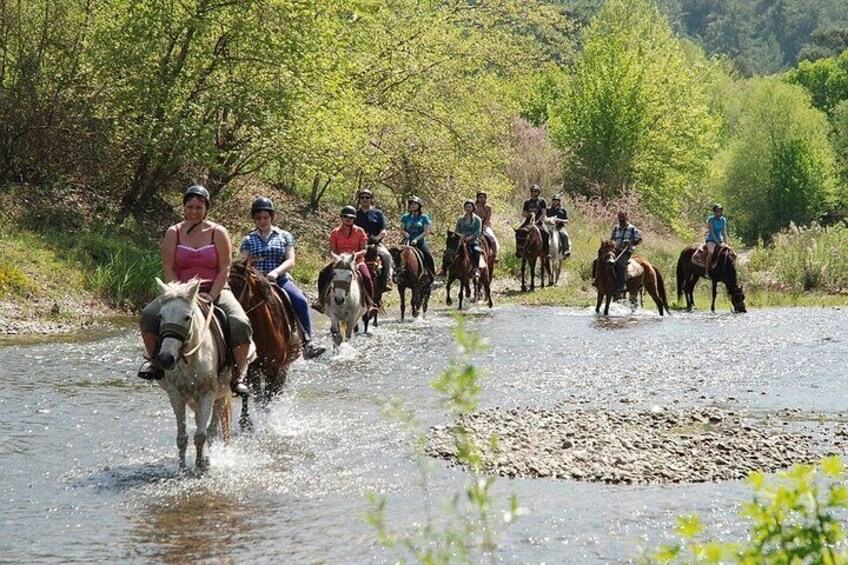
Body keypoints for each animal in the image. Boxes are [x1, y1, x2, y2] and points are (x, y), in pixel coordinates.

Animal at [155, 278, 235, 472]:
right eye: (160, 316)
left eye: (187, 317)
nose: (166, 358)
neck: (189, 359)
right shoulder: (176, 395)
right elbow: (182, 437)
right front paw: (182, 468)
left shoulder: (208, 394)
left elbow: (201, 435)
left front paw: (199, 466)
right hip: (194, 400)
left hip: (221, 395)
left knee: (211, 431)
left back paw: (208, 460)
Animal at [229, 258, 302, 408]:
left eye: (240, 285)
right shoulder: (253, 370)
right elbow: (258, 400)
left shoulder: (273, 369)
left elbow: (267, 401)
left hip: (284, 367)